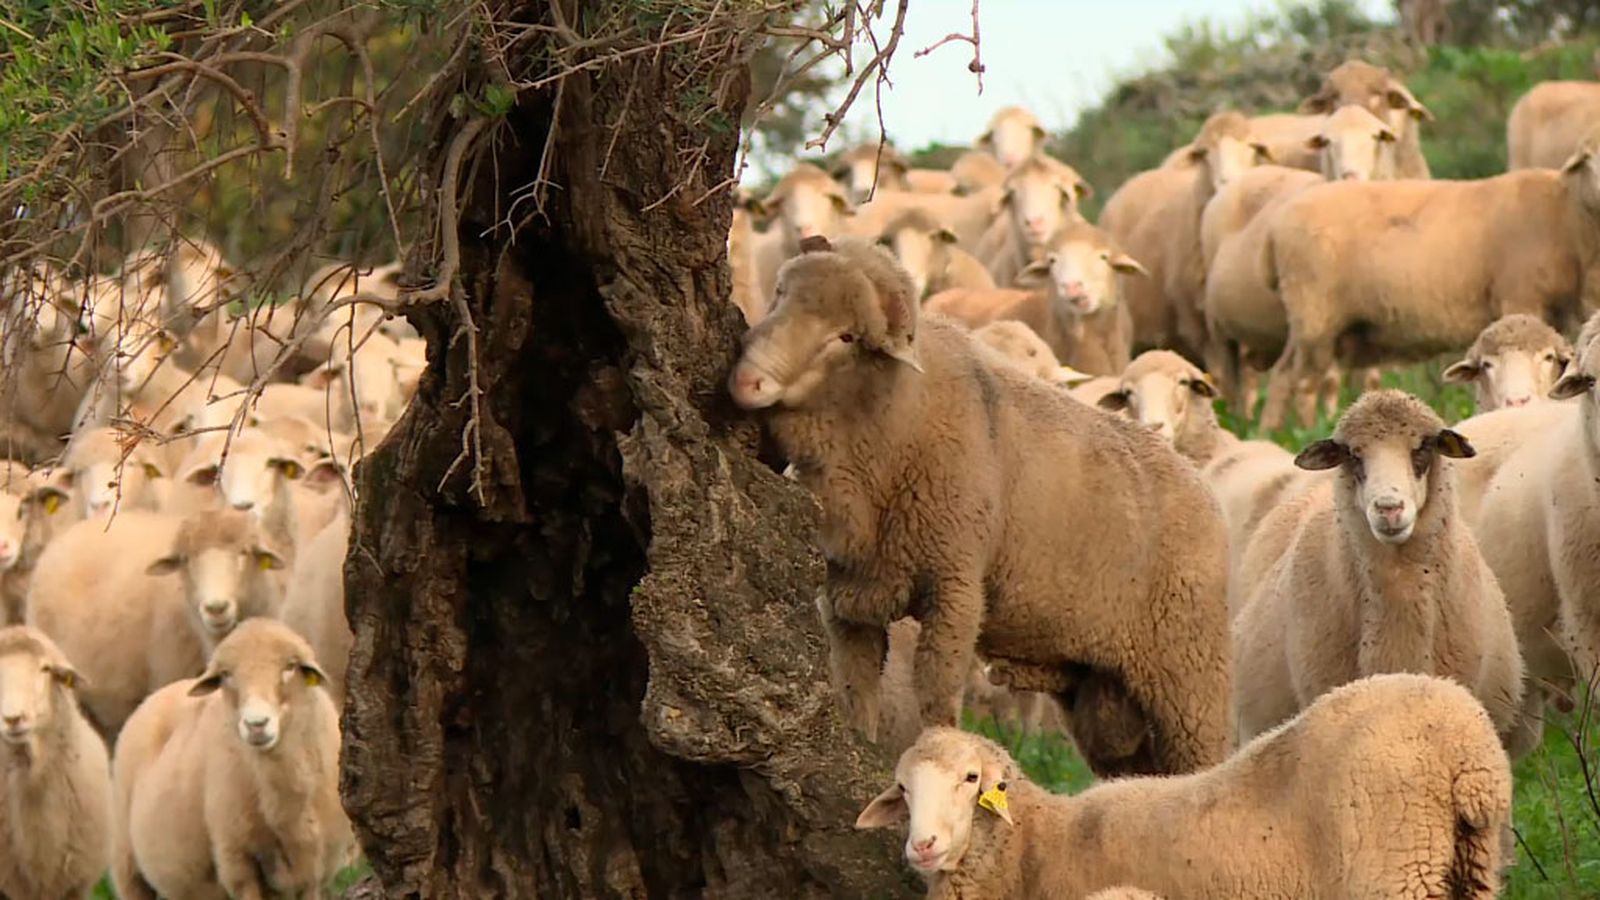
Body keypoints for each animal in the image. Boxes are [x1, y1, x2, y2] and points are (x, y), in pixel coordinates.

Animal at [119, 618, 353, 900]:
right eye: (226, 675)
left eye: (289, 667)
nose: (256, 724)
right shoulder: (237, 862)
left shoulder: (316, 873)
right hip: (128, 869)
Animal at [856, 673, 1511, 900]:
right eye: (902, 789)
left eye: (972, 780)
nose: (923, 846)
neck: (1036, 846)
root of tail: (1470, 748)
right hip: (1471, 866)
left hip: (1395, 870)